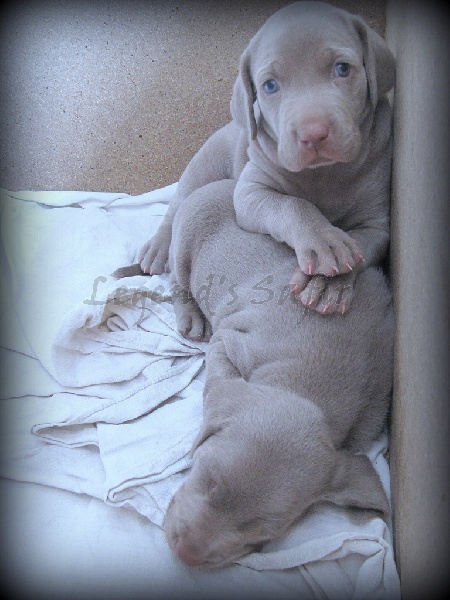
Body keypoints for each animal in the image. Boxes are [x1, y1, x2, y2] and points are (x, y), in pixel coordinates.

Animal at [133, 1, 395, 322]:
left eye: (343, 69)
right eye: (270, 86)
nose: (313, 134)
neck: (323, 173)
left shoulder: (379, 226)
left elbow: (362, 244)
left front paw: (327, 284)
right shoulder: (251, 191)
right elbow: (291, 205)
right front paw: (323, 241)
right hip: (203, 166)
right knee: (176, 206)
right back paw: (158, 248)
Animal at [163, 179, 393, 568]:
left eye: (261, 535)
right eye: (207, 480)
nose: (186, 555)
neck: (310, 383)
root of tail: (223, 183)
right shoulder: (233, 341)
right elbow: (217, 378)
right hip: (185, 242)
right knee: (177, 281)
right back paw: (191, 315)